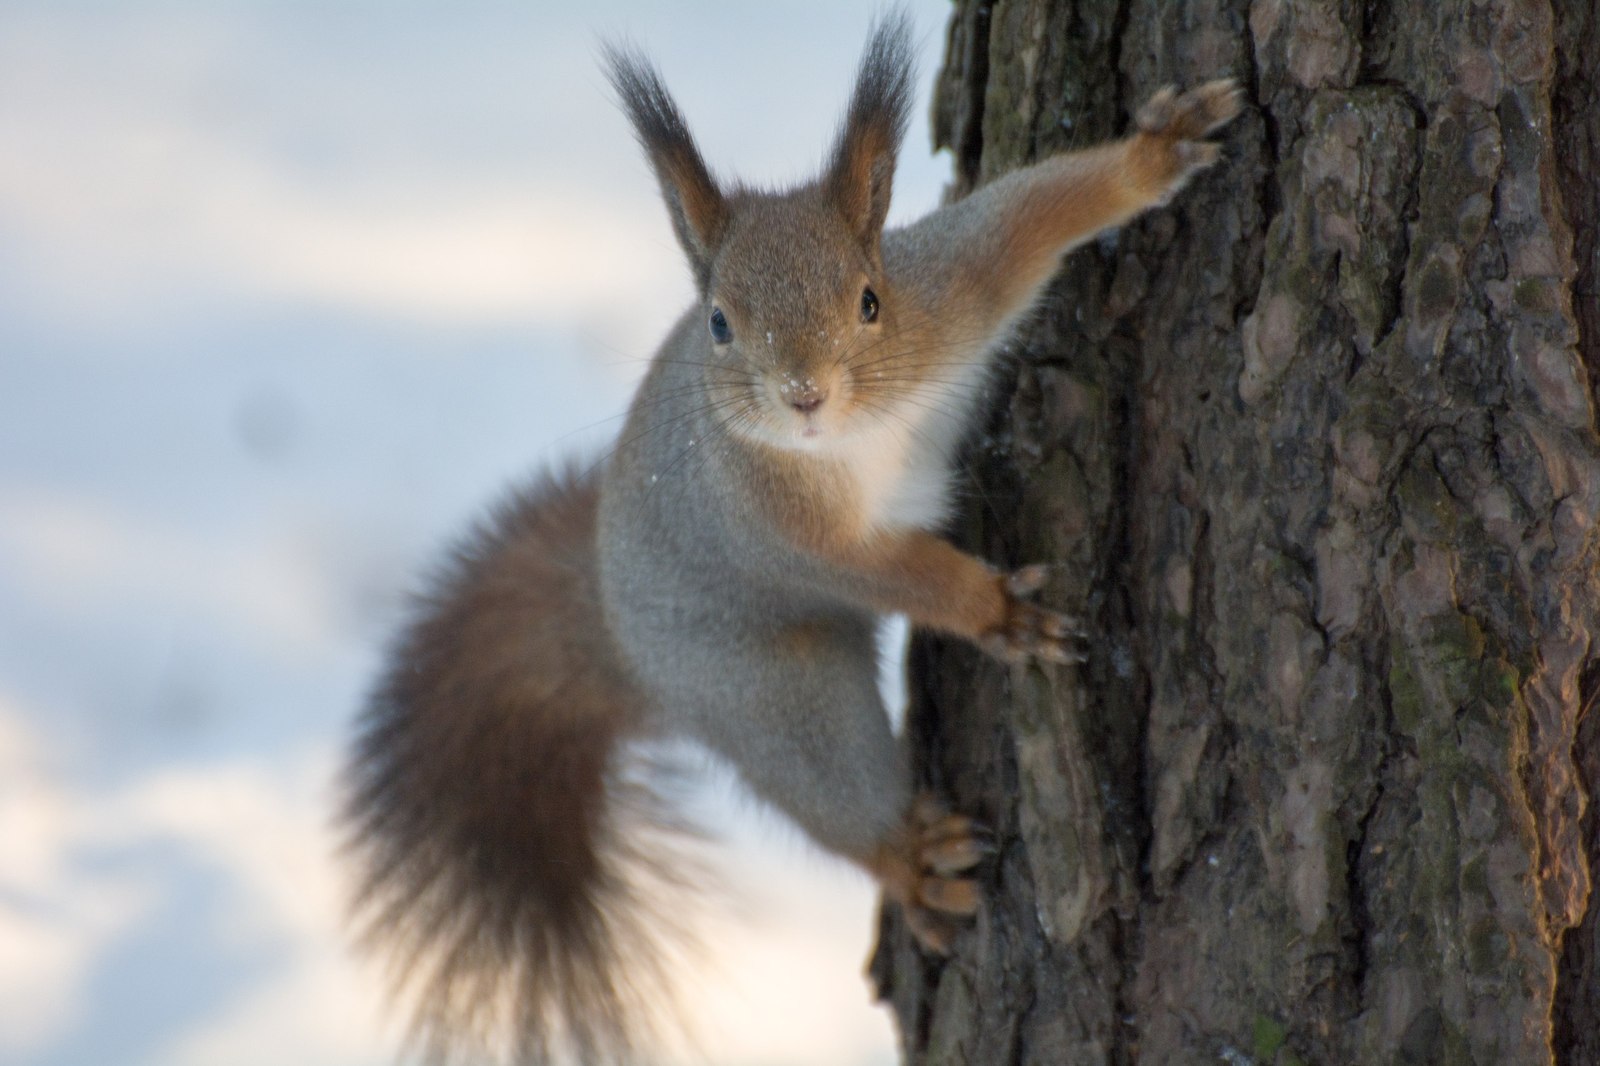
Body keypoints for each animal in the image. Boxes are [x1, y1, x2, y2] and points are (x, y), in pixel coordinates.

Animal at [340, 14, 1235, 1062]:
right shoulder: (788, 531)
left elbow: (1032, 218)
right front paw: (998, 611)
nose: (804, 395)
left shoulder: (953, 292)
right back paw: (907, 857)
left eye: (869, 300)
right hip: (767, 690)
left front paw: (1157, 154)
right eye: (721, 324)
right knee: (826, 780)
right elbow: (901, 575)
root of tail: (618, 633)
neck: (850, 440)